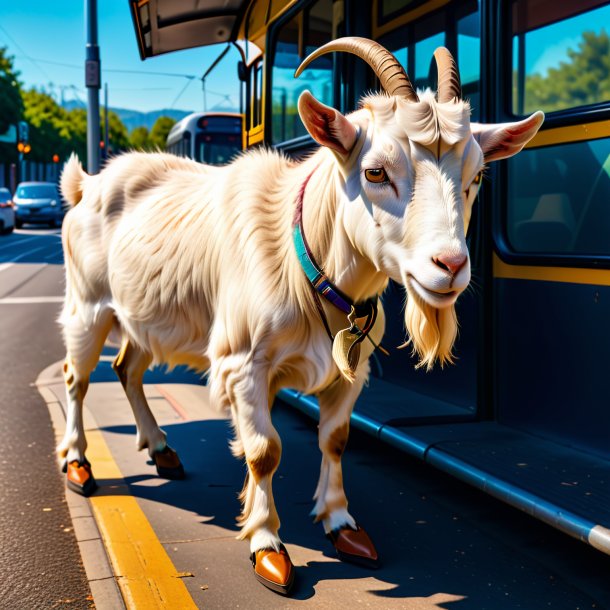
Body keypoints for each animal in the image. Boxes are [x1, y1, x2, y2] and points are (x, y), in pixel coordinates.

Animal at [57, 38, 540, 592]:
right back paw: (78, 464)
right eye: (375, 172)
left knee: (127, 369)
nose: (451, 266)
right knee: (77, 377)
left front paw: (341, 524)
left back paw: (161, 450)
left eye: (476, 175)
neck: (303, 257)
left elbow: (334, 439)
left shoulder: (352, 369)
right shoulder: (243, 362)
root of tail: (87, 185)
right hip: (89, 305)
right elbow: (265, 449)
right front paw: (267, 546)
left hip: (143, 316)